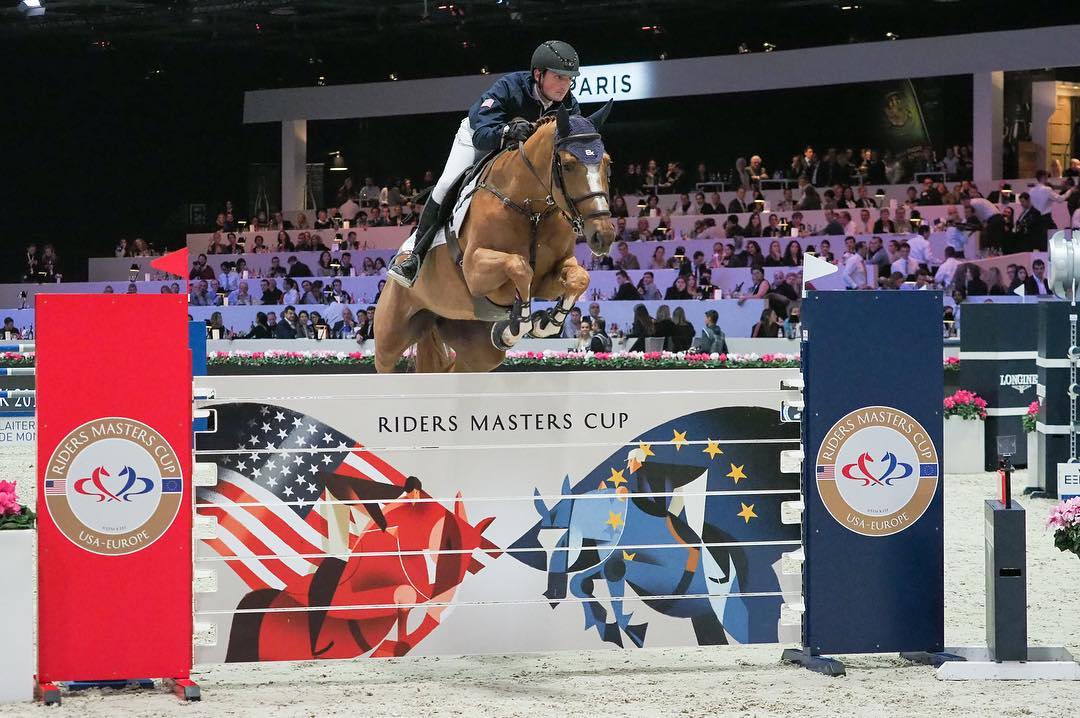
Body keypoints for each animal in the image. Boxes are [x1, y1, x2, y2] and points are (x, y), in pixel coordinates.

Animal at [374, 103, 616, 373]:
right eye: (568, 165)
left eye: (607, 163)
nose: (603, 236)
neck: (532, 210)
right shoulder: (474, 269)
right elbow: (519, 266)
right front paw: (517, 326)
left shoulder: (549, 277)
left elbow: (578, 278)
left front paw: (543, 324)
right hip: (390, 339)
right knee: (386, 362)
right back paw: (407, 267)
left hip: (475, 347)